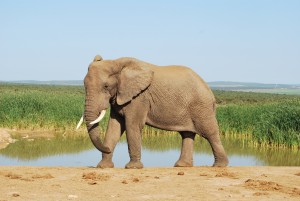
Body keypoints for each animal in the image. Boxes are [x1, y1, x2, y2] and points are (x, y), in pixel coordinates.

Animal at [76, 54, 229, 168]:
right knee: (187, 134)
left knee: (210, 133)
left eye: (106, 86)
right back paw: (181, 166)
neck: (117, 62)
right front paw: (103, 167)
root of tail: (208, 88)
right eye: (84, 84)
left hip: (201, 106)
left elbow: (132, 125)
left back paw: (219, 165)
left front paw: (132, 167)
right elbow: (114, 127)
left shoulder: (139, 97)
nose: (107, 148)